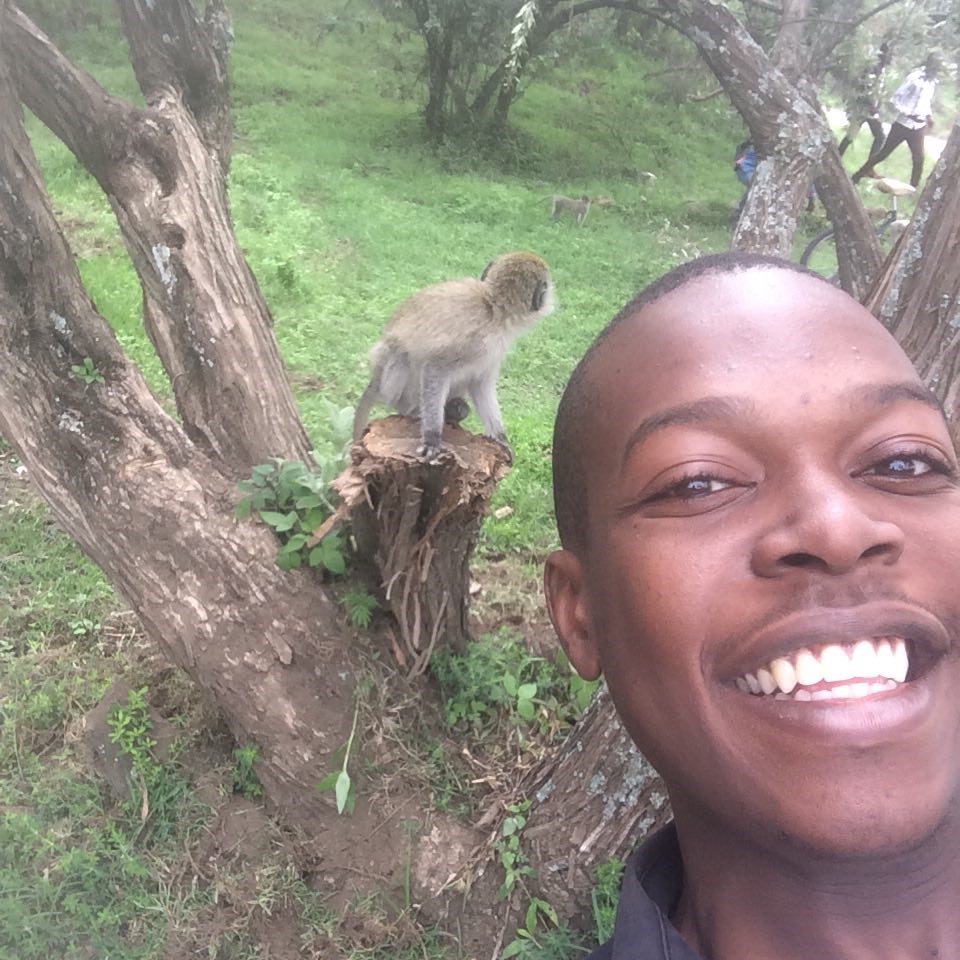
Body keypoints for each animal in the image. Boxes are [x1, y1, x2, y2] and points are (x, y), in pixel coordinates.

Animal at [352, 251, 556, 462]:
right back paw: (411, 410)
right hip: (389, 379)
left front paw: (500, 438)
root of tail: (375, 376)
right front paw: (432, 437)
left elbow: (480, 384)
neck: (494, 306)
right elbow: (436, 367)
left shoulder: (493, 348)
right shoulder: (475, 340)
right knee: (400, 352)